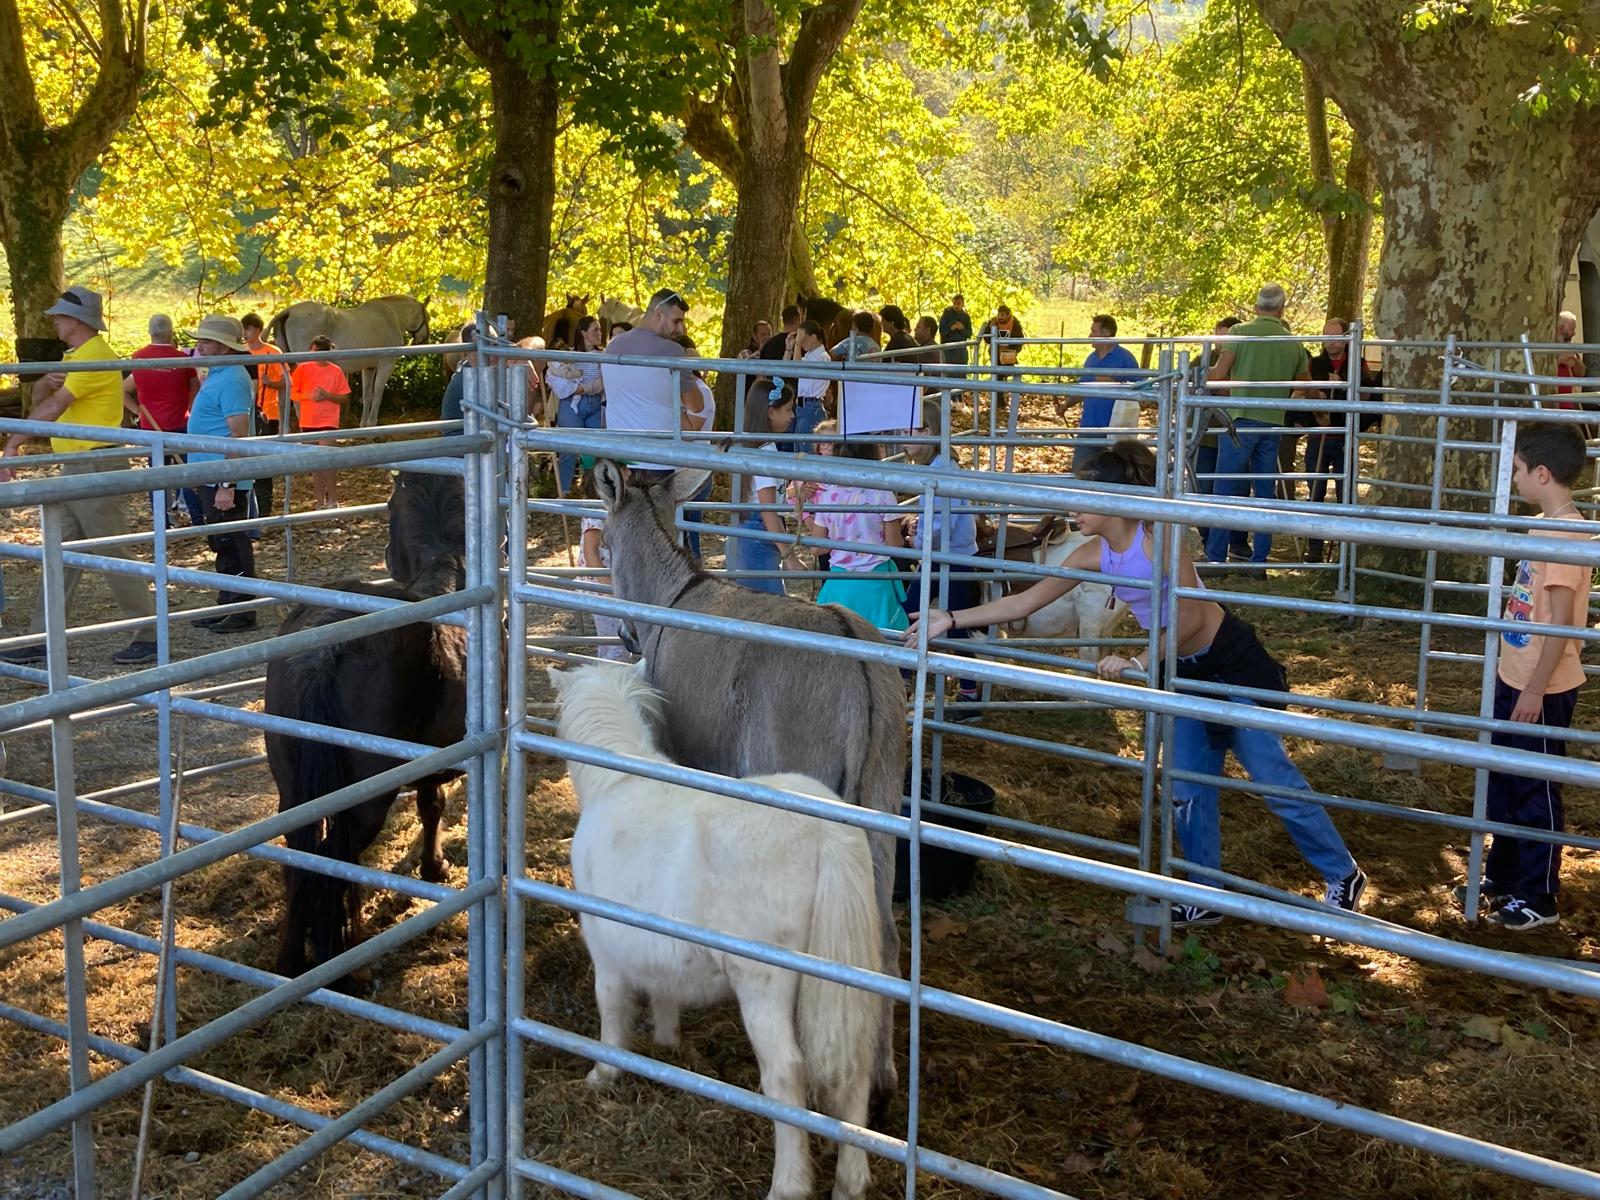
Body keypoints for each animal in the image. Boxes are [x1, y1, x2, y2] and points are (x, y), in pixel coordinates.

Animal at [268, 296, 435, 428]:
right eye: (427, 316)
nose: (424, 340)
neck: (390, 316)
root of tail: (289, 311)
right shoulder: (386, 365)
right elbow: (377, 395)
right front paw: (372, 425)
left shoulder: (368, 368)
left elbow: (367, 396)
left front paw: (363, 426)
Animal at [553, 662, 889, 1200]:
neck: (619, 780)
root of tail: (826, 832)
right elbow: (663, 995)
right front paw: (667, 1044)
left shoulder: (605, 944)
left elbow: (611, 1005)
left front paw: (603, 1072)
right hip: (845, 979)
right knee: (853, 1065)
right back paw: (851, 1180)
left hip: (763, 984)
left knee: (786, 1073)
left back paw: (788, 1184)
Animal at [595, 464, 908, 1120]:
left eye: (604, 548)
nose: (628, 636)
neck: (676, 597)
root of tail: (858, 671)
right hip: (882, 800)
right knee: (883, 937)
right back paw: (881, 1079)